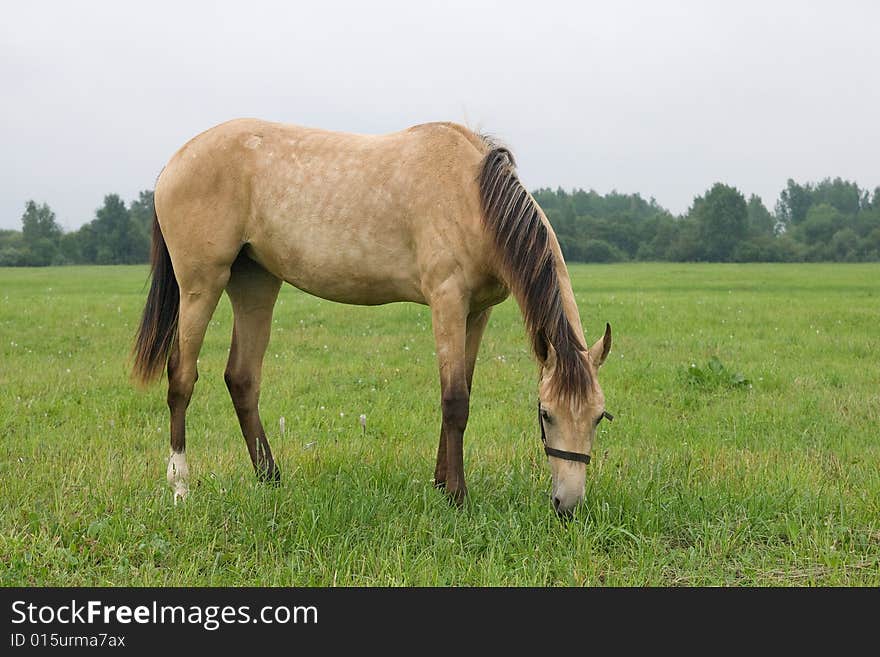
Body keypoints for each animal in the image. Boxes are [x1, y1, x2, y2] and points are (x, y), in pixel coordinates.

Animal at [132, 119, 612, 516]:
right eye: (545, 414)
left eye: (598, 417)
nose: (568, 506)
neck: (473, 197)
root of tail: (174, 163)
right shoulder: (448, 301)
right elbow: (455, 401)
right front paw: (457, 498)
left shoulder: (477, 312)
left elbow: (462, 392)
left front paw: (441, 484)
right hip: (201, 284)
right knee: (182, 378)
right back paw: (181, 488)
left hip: (255, 285)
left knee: (242, 378)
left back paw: (270, 478)